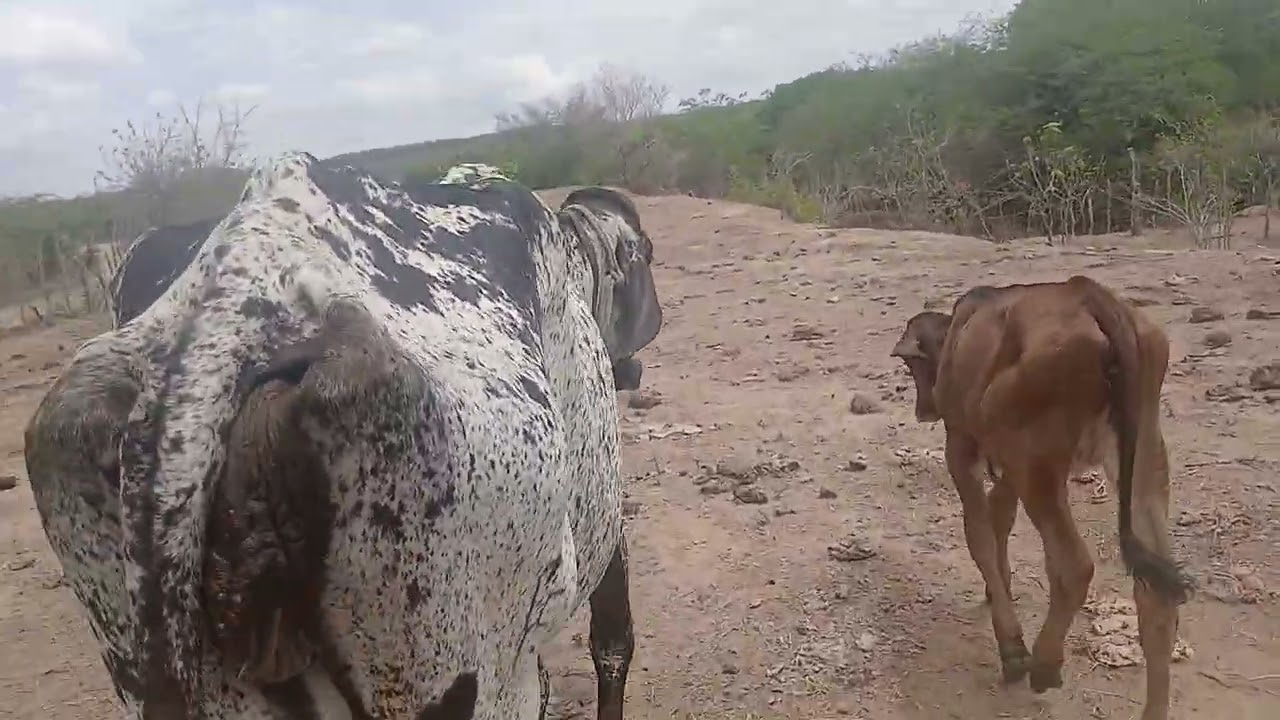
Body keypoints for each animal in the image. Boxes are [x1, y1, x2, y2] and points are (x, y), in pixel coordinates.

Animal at [889, 275, 1192, 720]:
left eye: (913, 365)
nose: (922, 408)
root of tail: (1087, 293)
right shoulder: (1012, 467)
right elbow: (1000, 521)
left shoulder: (962, 446)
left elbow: (980, 533)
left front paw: (1011, 646)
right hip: (1142, 458)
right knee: (1154, 594)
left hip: (1036, 462)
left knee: (1075, 566)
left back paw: (1044, 663)